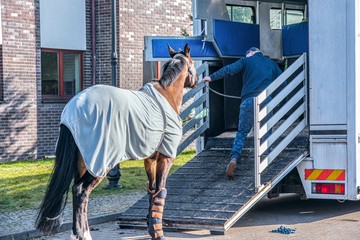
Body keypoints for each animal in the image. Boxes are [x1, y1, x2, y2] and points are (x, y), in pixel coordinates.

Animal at [35, 43, 198, 240]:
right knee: (81, 191)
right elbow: (160, 190)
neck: (166, 94)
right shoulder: (165, 157)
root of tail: (72, 109)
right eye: (193, 62)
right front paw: (158, 234)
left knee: (79, 194)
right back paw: (83, 235)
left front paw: (152, 229)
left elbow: (151, 191)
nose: (196, 81)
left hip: (82, 162)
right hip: (100, 162)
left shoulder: (150, 159)